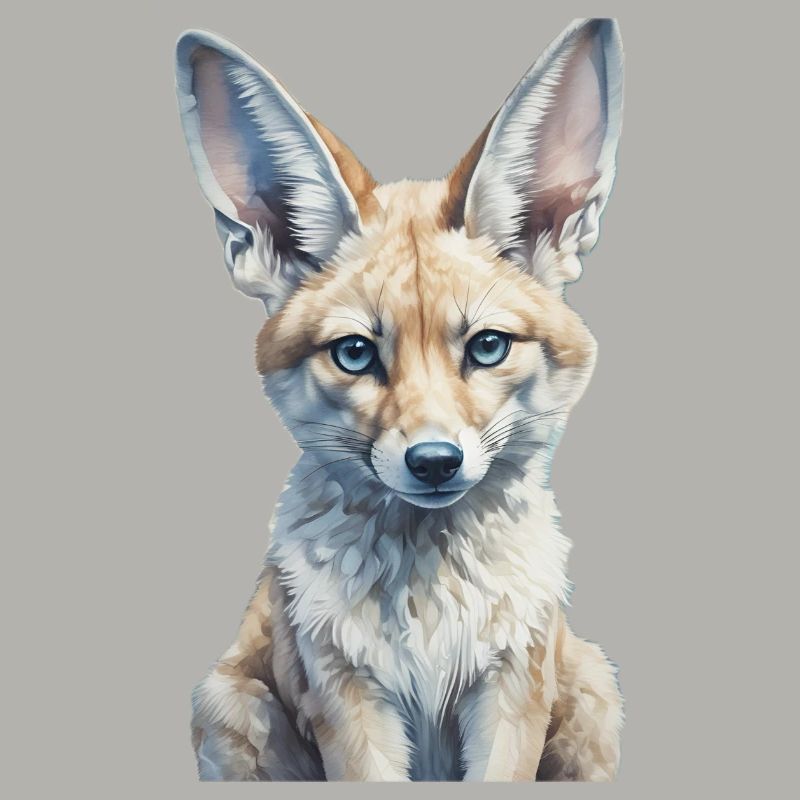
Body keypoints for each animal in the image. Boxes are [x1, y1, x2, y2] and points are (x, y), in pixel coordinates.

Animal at [176, 17, 624, 782]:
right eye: (356, 353)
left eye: (487, 346)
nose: (435, 462)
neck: (430, 608)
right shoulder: (347, 700)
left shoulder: (512, 690)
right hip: (228, 708)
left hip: (594, 693)